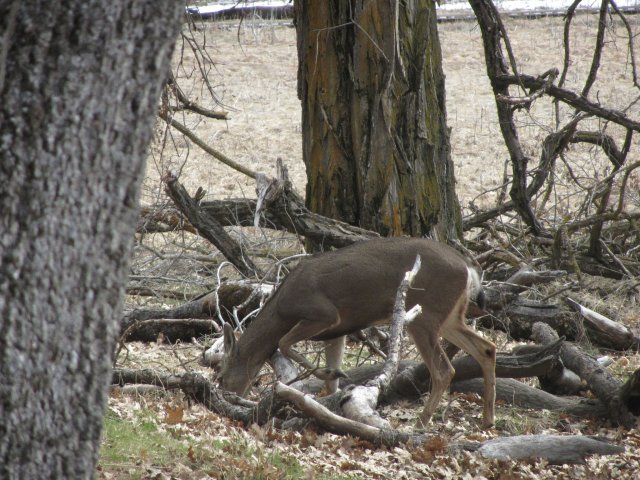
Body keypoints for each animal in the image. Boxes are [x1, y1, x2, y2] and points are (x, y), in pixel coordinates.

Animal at [215, 236, 496, 428]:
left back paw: (420, 423)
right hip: (449, 317)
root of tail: (469, 269)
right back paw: (488, 419)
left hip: (425, 315)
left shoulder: (324, 314)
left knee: (444, 369)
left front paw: (331, 378)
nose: (226, 399)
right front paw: (329, 400)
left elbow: (283, 342)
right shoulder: (336, 332)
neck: (282, 310)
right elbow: (331, 382)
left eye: (221, 376)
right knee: (486, 348)